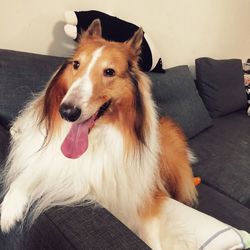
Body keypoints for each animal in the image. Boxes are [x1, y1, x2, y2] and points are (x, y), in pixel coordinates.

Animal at [0, 20, 197, 250]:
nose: (67, 112)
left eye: (109, 71)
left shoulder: (146, 199)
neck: (96, 139)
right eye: (76, 65)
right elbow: (32, 171)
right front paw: (9, 209)